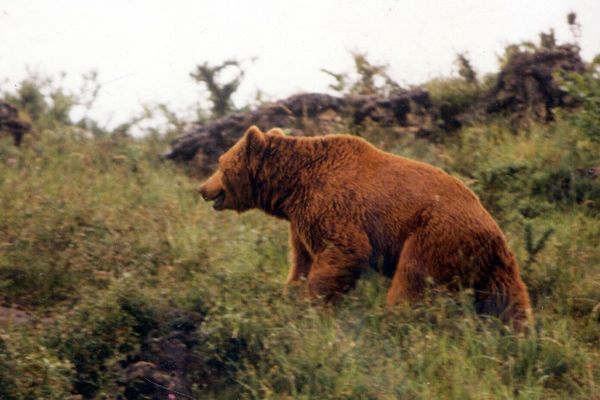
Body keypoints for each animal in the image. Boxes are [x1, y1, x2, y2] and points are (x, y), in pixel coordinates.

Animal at [199, 126, 532, 330]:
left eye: (220, 162)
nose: (202, 188)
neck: (292, 186)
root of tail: (493, 233)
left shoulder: (331, 206)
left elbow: (343, 251)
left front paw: (312, 306)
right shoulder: (302, 220)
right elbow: (303, 260)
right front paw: (289, 295)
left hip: (436, 234)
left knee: (412, 280)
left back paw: (392, 320)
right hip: (496, 266)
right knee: (508, 302)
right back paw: (518, 336)